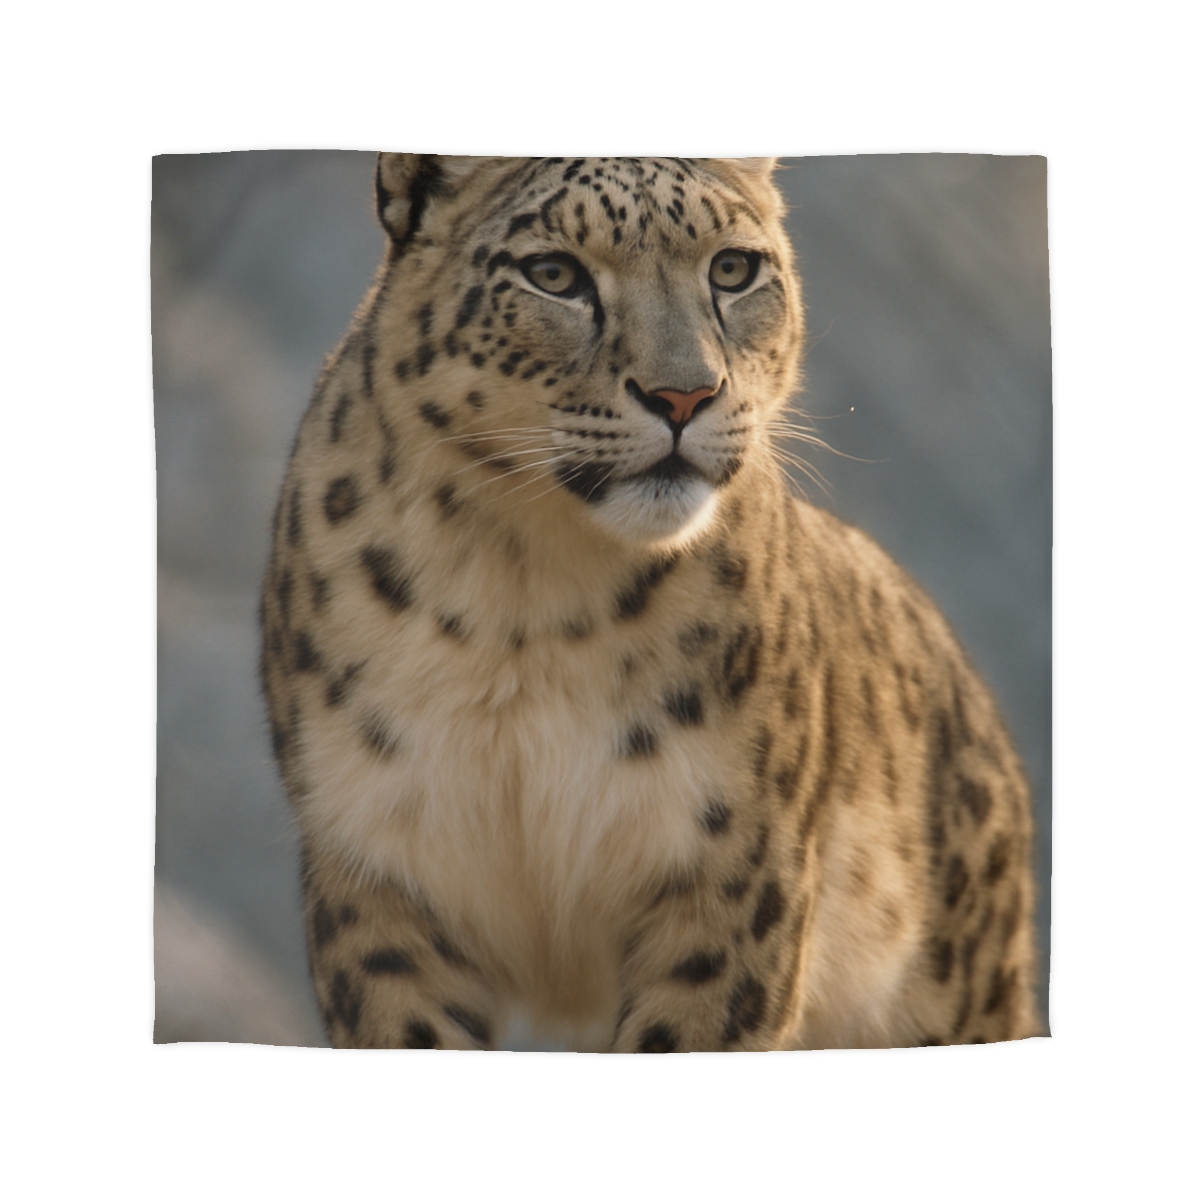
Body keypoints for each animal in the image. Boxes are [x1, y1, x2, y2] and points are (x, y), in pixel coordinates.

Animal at [260, 154, 1042, 1051]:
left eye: (732, 269)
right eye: (554, 274)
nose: (684, 396)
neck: (523, 594)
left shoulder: (731, 878)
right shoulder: (382, 875)